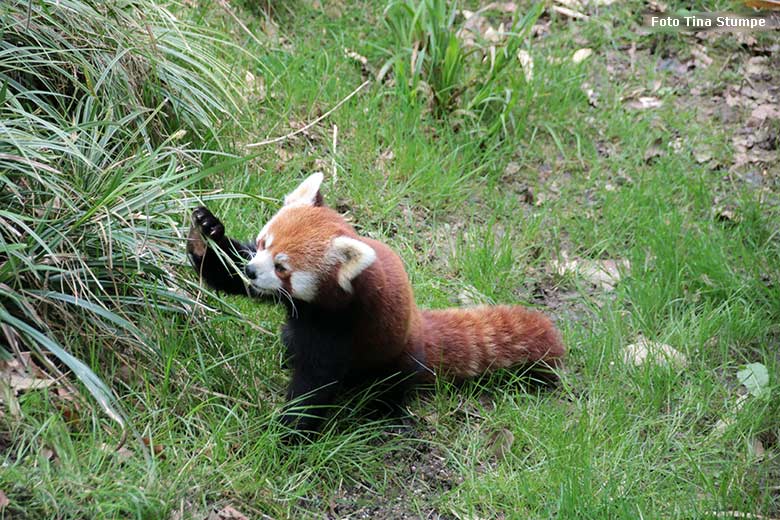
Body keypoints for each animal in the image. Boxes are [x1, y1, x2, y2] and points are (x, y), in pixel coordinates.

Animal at [190, 174, 568, 434]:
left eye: (283, 267)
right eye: (262, 244)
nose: (253, 270)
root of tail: (418, 324)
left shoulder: (341, 327)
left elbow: (315, 383)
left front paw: (285, 434)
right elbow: (226, 272)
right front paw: (205, 232)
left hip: (396, 359)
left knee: (391, 386)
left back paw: (388, 413)